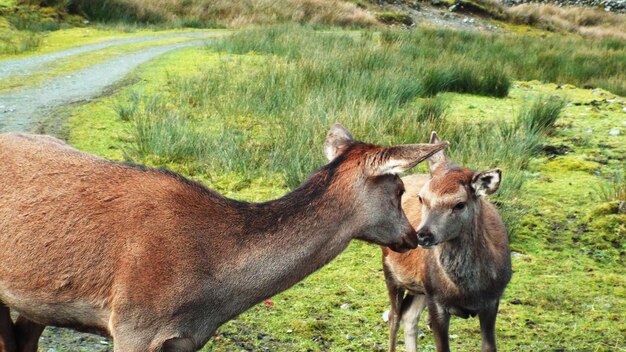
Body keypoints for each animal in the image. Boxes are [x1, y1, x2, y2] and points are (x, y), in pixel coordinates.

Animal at [382, 133, 510, 352]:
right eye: (422, 198)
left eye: (460, 204)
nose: (423, 235)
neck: (469, 292)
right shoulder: (436, 300)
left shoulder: (493, 300)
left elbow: (489, 346)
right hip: (392, 270)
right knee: (394, 317)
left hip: (420, 287)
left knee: (409, 316)